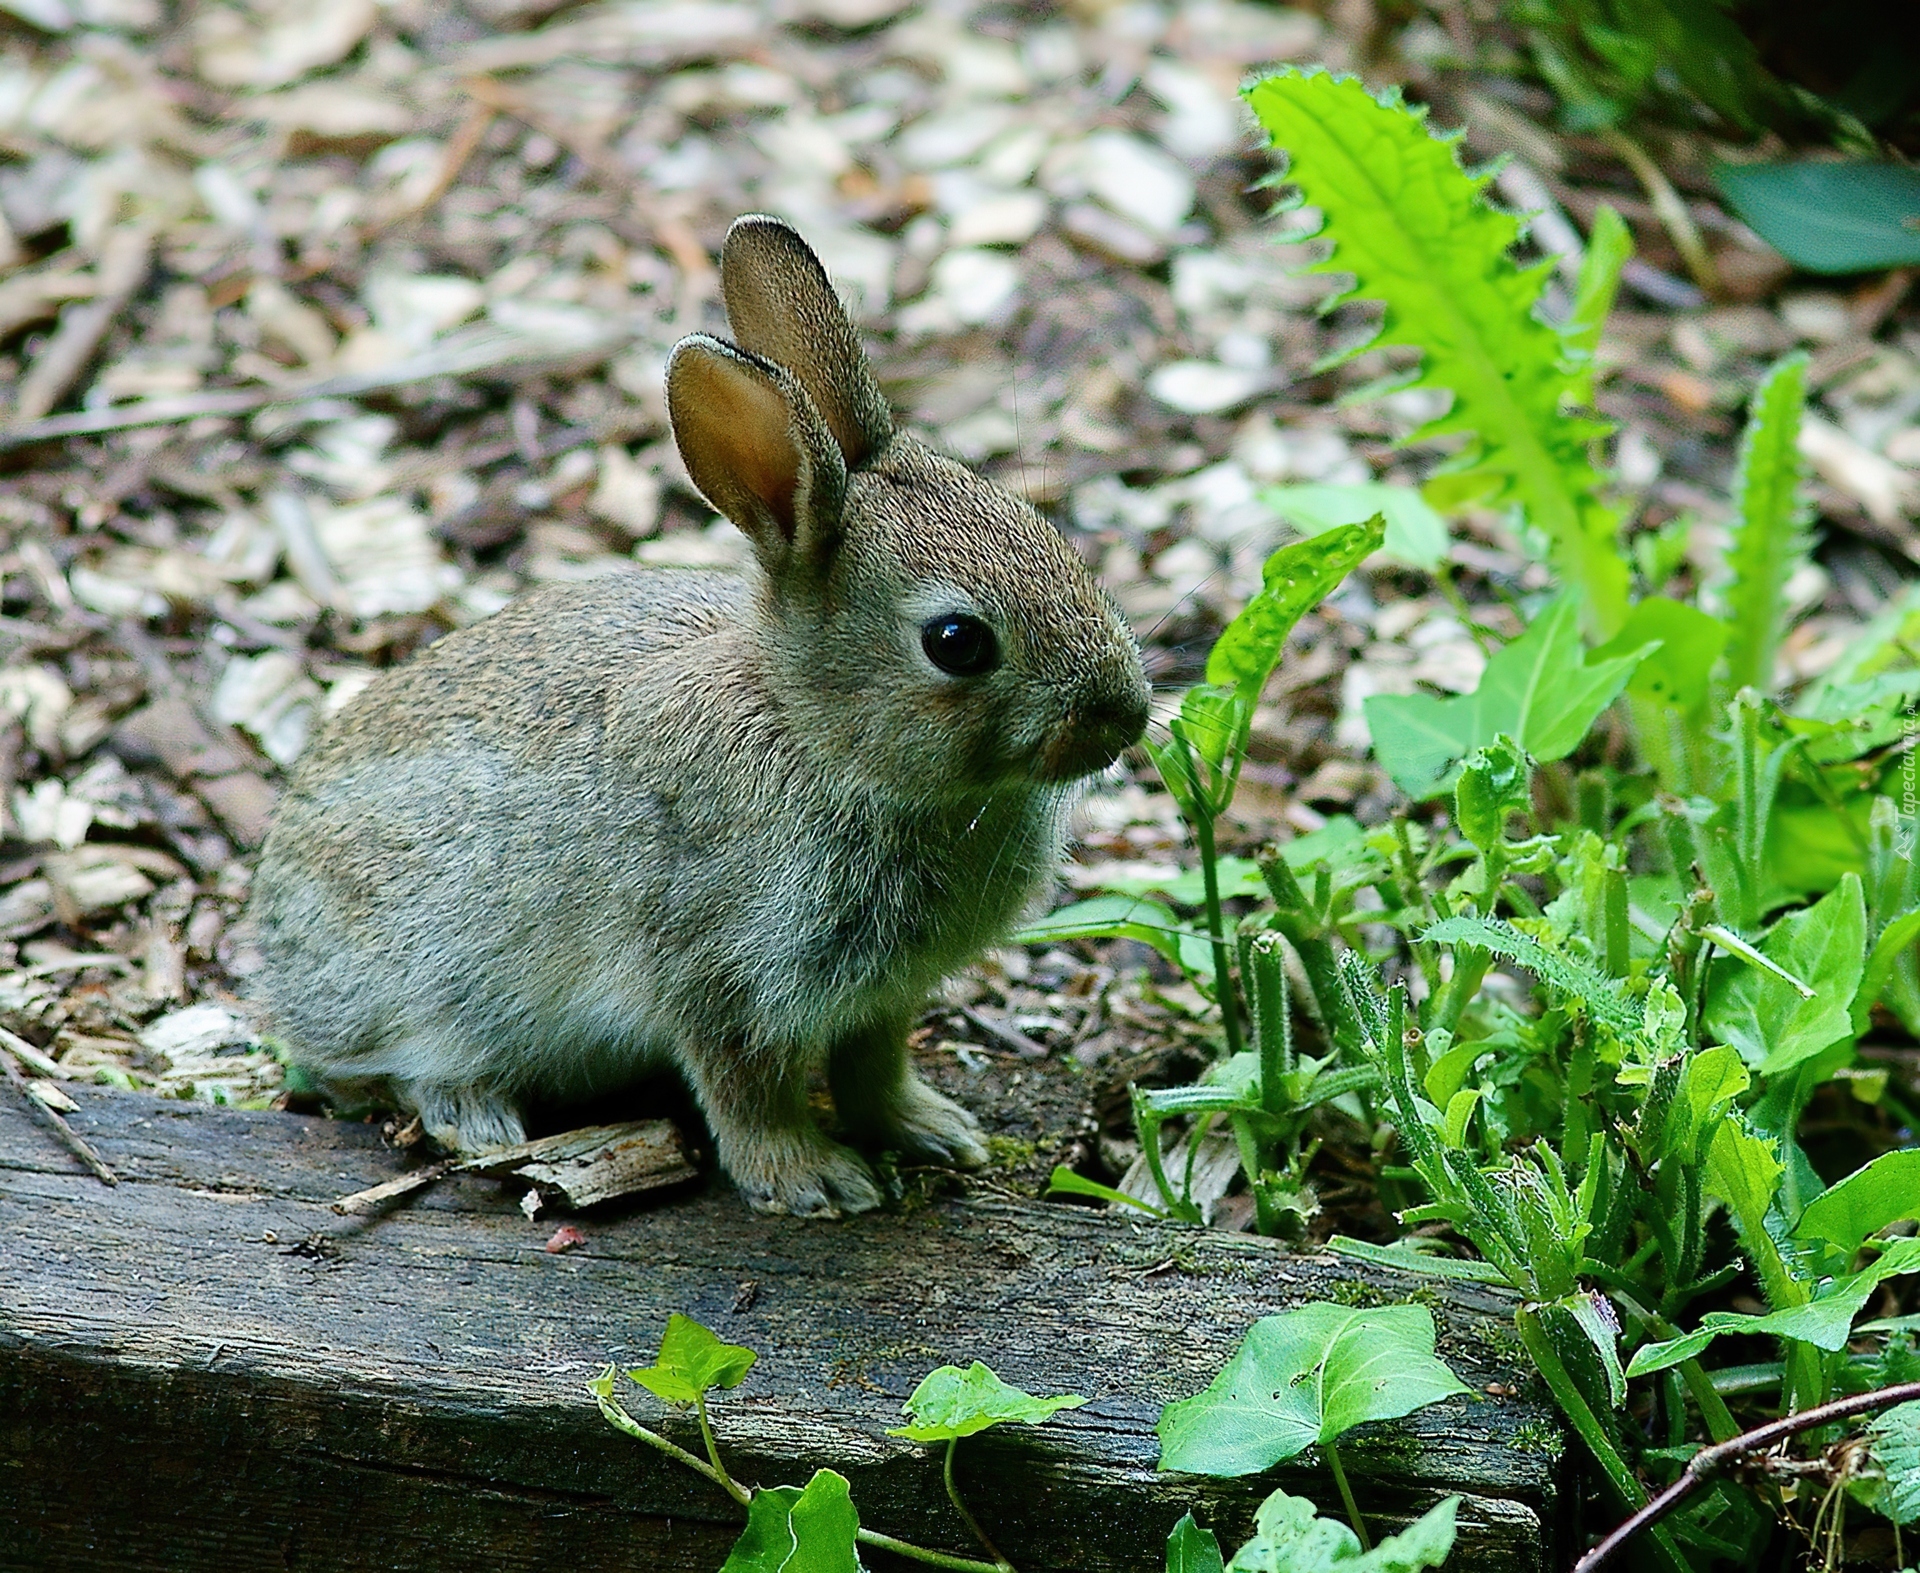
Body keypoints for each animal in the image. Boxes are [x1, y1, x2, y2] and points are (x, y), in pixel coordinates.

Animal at [255, 212, 1152, 1221]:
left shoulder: (880, 997)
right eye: (956, 641)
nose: (1127, 716)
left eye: (1048, 533)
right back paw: (479, 1119)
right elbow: (743, 1087)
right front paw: (813, 1179)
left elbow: (874, 1069)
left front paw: (933, 1130)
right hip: (426, 981)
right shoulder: (718, 973)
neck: (820, 735)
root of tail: (270, 935)